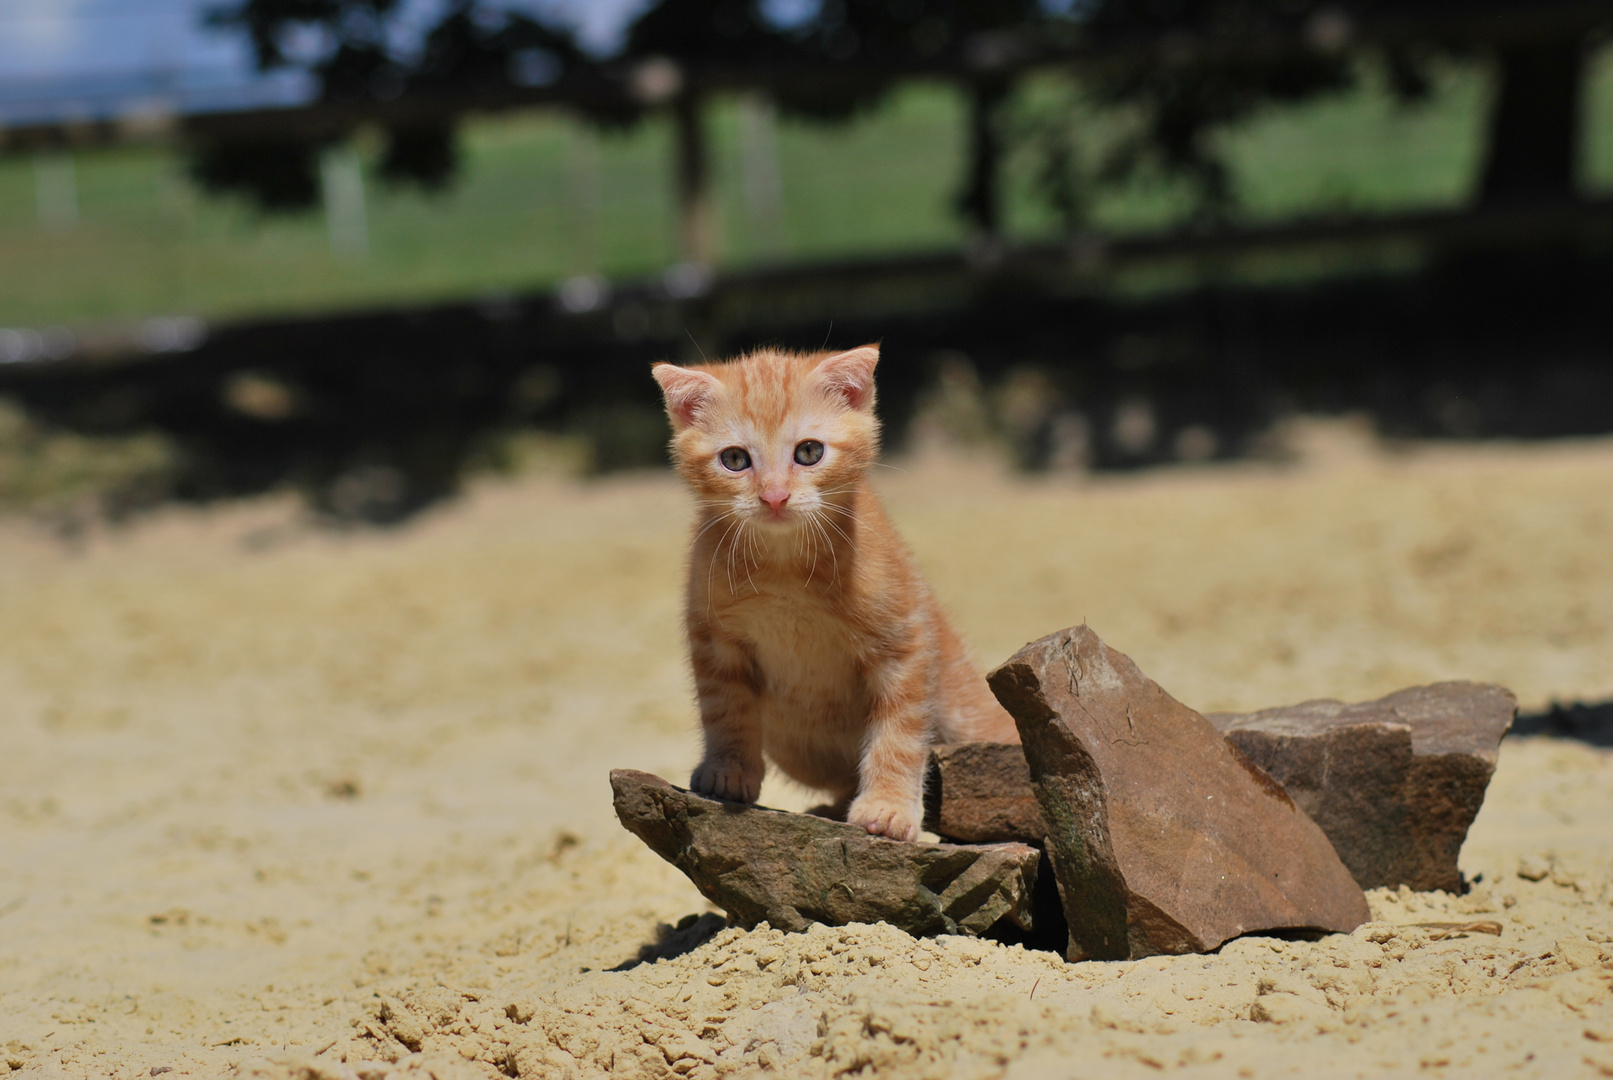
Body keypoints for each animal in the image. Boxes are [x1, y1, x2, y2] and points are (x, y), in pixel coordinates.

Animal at [648, 343, 1012, 844]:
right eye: (735, 460)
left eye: (809, 452)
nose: (775, 497)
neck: (784, 566)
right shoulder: (714, 638)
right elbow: (724, 709)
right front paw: (728, 769)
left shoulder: (903, 642)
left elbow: (899, 732)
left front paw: (887, 807)